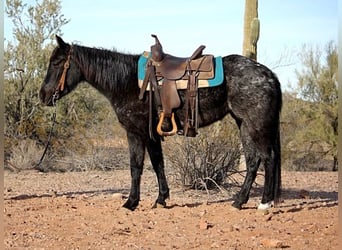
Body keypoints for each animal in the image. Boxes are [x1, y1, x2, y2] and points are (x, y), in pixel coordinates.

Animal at [40, 35, 282, 211]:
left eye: (57, 62)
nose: (43, 96)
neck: (126, 81)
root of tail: (269, 74)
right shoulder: (152, 135)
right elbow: (158, 164)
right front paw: (161, 199)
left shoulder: (136, 132)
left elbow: (136, 166)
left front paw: (131, 203)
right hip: (244, 124)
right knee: (253, 161)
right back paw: (239, 201)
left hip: (256, 125)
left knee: (267, 158)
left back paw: (264, 203)